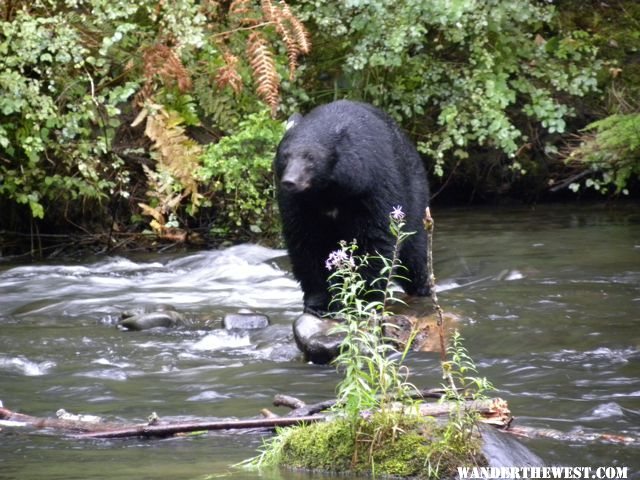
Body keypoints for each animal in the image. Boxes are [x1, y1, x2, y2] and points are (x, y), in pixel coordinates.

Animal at [276, 99, 430, 314]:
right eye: (285, 156)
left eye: (310, 158)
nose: (290, 181)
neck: (328, 192)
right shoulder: (299, 204)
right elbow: (305, 243)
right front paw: (319, 303)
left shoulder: (372, 188)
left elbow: (375, 239)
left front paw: (365, 299)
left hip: (414, 193)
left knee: (413, 251)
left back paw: (422, 287)